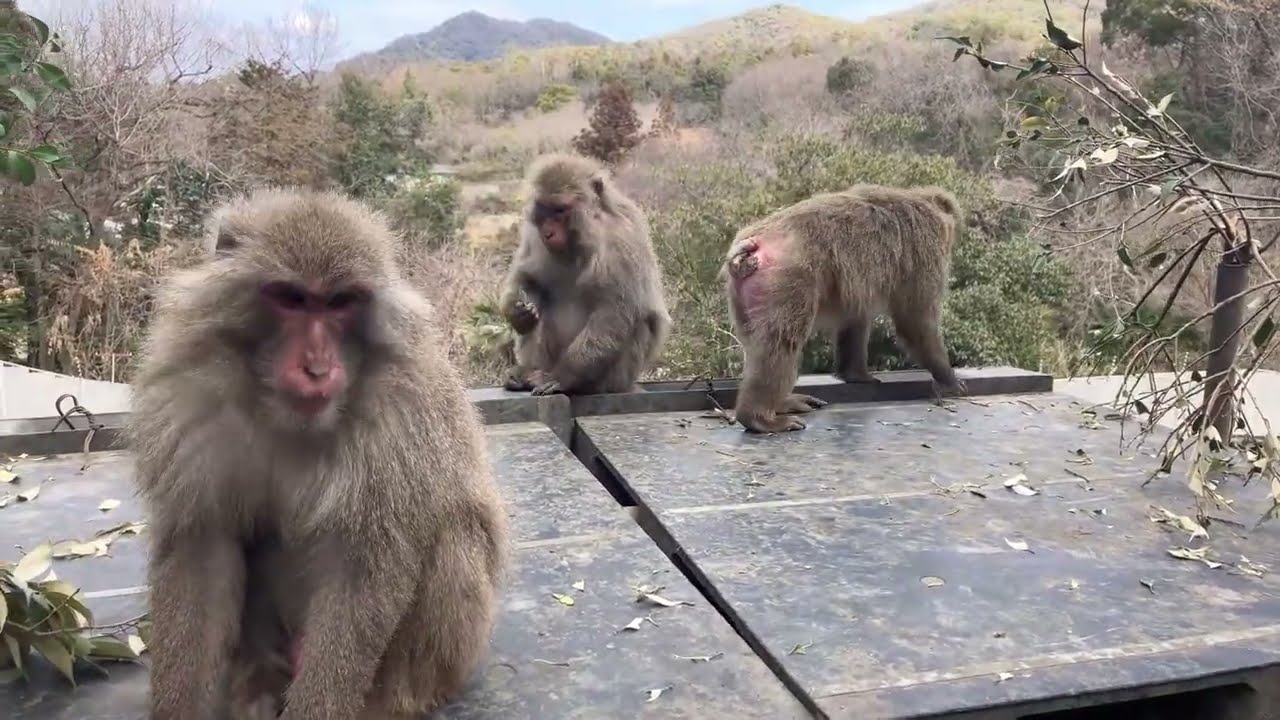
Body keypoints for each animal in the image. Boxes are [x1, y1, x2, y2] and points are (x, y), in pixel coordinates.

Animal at [123, 187, 511, 720]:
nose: (317, 368)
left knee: (456, 535)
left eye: (341, 302)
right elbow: (202, 547)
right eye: (292, 299)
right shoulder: (191, 398)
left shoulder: (399, 417)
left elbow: (366, 567)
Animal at [498, 152, 671, 396]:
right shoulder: (532, 234)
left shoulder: (622, 240)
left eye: (560, 210)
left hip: (616, 377)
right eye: (544, 209)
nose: (548, 233)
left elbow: (616, 311)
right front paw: (518, 312)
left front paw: (563, 377)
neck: (579, 240)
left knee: (637, 320)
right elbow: (528, 278)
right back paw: (526, 372)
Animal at [722, 183, 966, 434]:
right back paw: (759, 417)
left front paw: (856, 374)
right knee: (781, 343)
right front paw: (949, 380)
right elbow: (915, 322)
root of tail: (751, 244)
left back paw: (781, 404)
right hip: (788, 277)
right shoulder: (925, 250)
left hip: (744, 293)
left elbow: (855, 316)